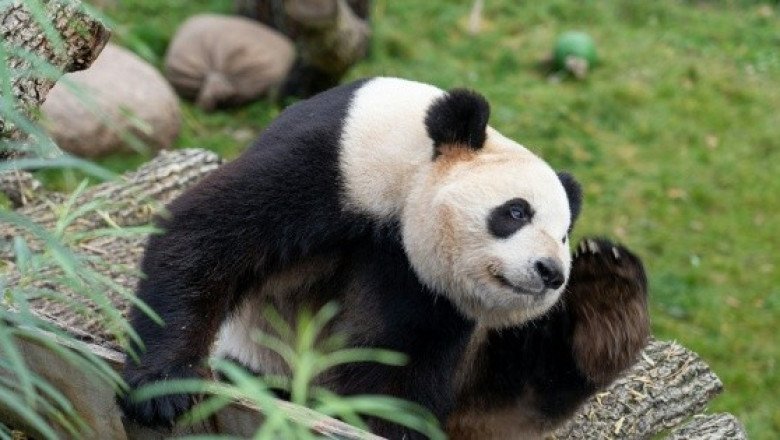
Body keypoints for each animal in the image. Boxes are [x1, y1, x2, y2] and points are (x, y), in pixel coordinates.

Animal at [120, 77, 650, 438]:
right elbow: (206, 234)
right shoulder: (334, 162)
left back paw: (608, 290)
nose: (550, 272)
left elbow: (395, 365)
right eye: (516, 211)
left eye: (562, 236)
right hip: (260, 356)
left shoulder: (429, 291)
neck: (409, 176)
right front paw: (162, 391)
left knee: (529, 377)